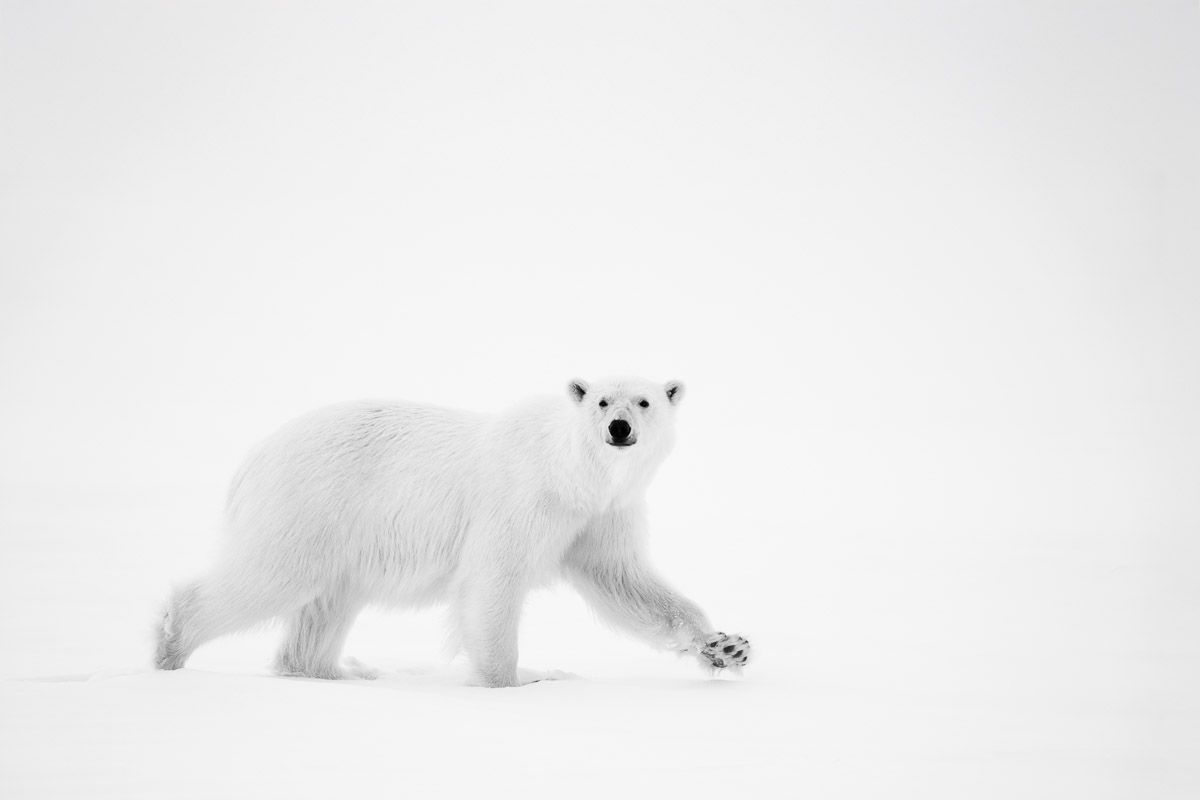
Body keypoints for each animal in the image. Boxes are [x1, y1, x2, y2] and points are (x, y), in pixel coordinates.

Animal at [152, 376, 748, 690]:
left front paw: (726, 646)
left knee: (325, 605)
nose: (619, 428)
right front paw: (513, 680)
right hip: (311, 503)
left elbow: (627, 584)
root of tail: (253, 456)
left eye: (644, 400)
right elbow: (493, 582)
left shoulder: (599, 518)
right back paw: (170, 644)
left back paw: (335, 673)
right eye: (602, 399)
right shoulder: (521, 501)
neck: (572, 475)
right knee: (272, 575)